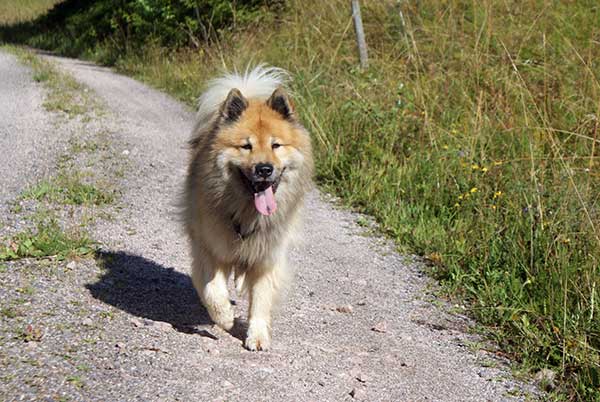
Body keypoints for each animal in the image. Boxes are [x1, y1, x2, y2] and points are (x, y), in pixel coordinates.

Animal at [182, 64, 314, 350]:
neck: (247, 214)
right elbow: (212, 289)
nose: (264, 169)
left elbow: (261, 300)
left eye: (276, 145)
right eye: (246, 146)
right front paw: (224, 317)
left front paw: (258, 335)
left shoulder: (267, 258)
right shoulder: (209, 247)